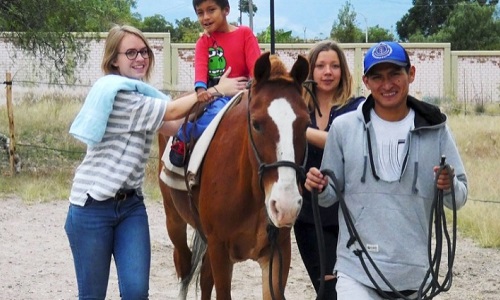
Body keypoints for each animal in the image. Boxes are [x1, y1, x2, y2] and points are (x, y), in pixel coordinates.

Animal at [158, 52, 310, 298]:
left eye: (306, 125)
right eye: (256, 124)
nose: (285, 205)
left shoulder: (278, 253)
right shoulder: (220, 250)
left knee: (204, 277)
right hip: (175, 221)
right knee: (184, 264)